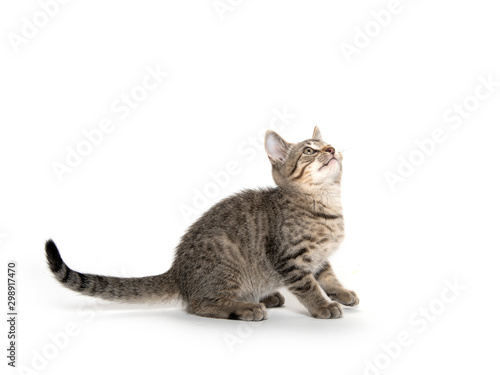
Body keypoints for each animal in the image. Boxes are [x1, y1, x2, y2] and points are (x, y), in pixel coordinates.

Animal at [45, 127, 360, 320]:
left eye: (327, 143)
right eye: (309, 151)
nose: (331, 149)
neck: (325, 203)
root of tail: (177, 272)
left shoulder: (318, 258)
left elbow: (327, 277)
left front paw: (342, 293)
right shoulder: (290, 259)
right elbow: (308, 286)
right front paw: (323, 306)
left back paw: (266, 297)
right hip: (226, 265)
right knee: (200, 304)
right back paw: (246, 308)